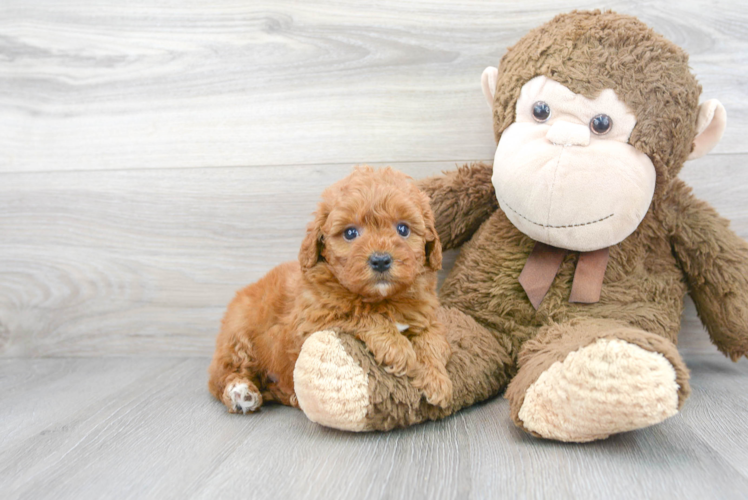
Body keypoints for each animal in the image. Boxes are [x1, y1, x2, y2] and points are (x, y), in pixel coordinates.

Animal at [207, 166, 452, 412]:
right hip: (238, 337)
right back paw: (241, 393)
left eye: (403, 229)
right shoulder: (315, 319)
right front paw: (398, 349)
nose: (381, 260)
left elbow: (430, 340)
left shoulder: (426, 316)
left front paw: (437, 381)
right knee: (220, 377)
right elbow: (361, 314)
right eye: (350, 233)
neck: (382, 299)